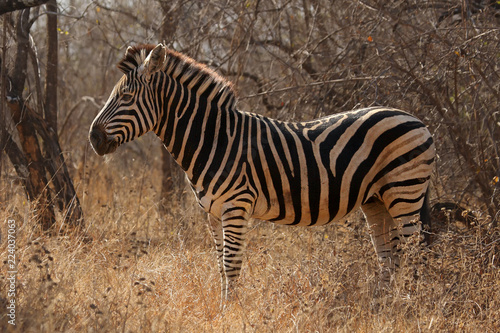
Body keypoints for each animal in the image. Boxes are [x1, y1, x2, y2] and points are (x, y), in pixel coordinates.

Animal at [89, 42, 434, 300]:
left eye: (126, 97)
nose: (93, 138)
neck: (214, 140)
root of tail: (416, 119)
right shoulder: (212, 213)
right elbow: (219, 265)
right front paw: (223, 309)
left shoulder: (236, 206)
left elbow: (231, 265)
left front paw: (230, 313)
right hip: (376, 199)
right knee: (389, 255)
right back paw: (386, 306)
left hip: (404, 189)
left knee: (415, 251)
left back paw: (412, 305)